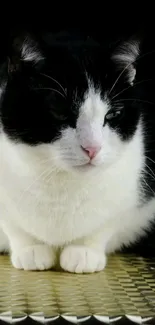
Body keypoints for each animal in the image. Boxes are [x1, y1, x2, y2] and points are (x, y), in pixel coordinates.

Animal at [0, 29, 155, 274]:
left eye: (112, 114)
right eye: (59, 112)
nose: (92, 148)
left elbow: (106, 223)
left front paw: (84, 251)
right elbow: (13, 224)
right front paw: (31, 248)